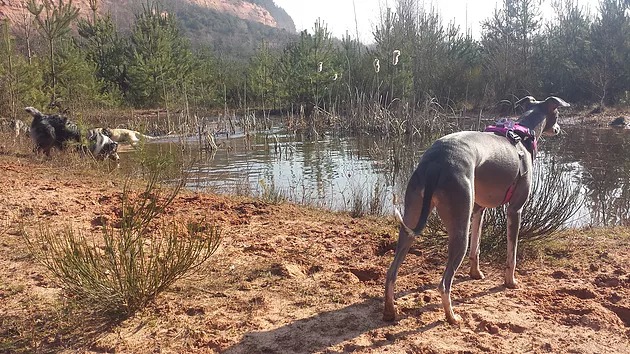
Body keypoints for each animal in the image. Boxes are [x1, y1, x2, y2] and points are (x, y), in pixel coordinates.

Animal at [386, 96, 572, 324]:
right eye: (557, 113)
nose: (559, 129)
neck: (522, 135)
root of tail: (435, 163)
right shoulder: (515, 210)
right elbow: (512, 254)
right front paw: (511, 281)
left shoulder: (478, 208)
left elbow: (476, 247)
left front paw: (476, 273)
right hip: (459, 229)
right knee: (444, 284)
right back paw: (452, 317)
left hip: (411, 222)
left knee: (391, 273)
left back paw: (390, 311)